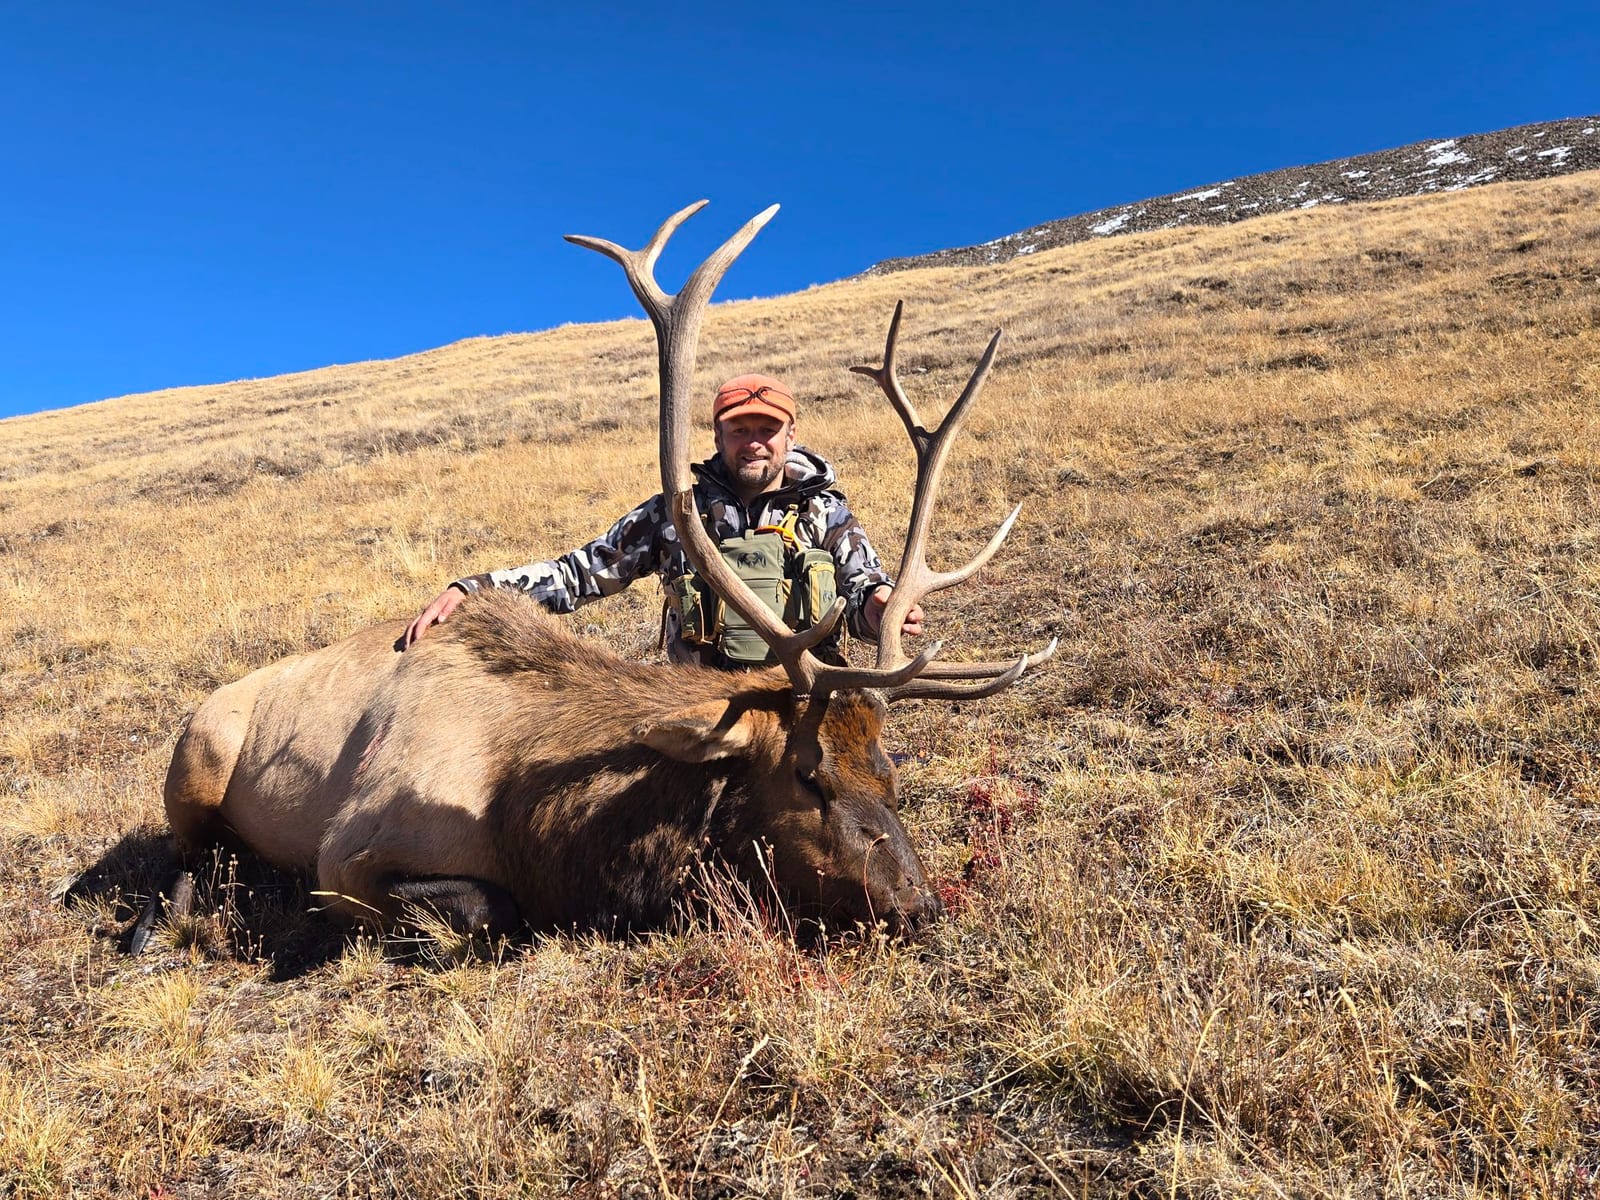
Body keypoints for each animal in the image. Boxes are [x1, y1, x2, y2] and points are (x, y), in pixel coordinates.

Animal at [148, 201, 1054, 951]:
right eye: (810, 776)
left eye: (891, 774)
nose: (918, 904)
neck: (535, 819)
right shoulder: (346, 855)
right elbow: (489, 908)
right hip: (194, 763)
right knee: (184, 856)